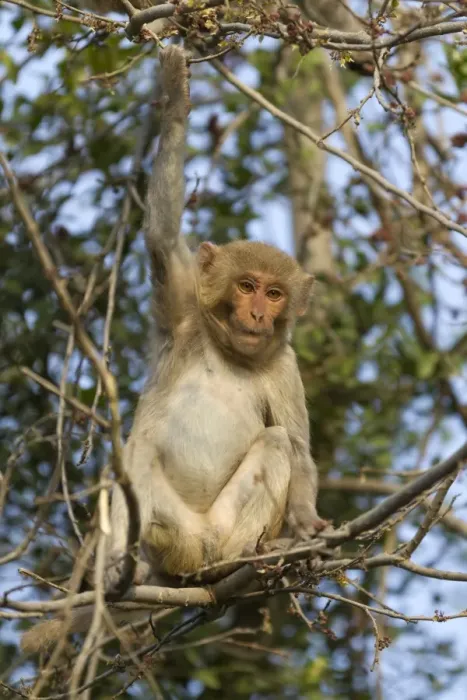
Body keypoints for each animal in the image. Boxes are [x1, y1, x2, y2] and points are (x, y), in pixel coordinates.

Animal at [21, 45, 326, 654]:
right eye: (246, 286)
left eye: (275, 294)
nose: (259, 314)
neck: (232, 351)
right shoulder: (183, 308)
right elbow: (162, 239)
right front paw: (177, 98)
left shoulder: (283, 364)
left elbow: (299, 448)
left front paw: (304, 526)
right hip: (168, 535)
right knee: (134, 454)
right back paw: (120, 569)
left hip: (224, 528)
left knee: (275, 443)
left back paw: (244, 560)